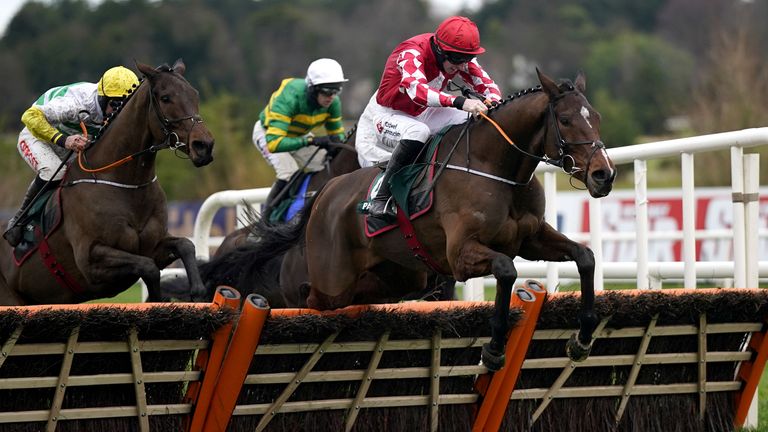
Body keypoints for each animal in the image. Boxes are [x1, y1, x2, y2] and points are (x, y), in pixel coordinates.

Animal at [0, 59, 214, 306]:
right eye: (166, 97)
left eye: (194, 94)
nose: (204, 145)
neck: (124, 184)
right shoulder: (92, 261)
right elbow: (149, 268)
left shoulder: (154, 245)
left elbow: (186, 246)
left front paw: (198, 292)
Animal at [220, 69, 612, 370]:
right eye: (565, 120)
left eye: (596, 117)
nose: (603, 175)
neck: (495, 167)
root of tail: (324, 194)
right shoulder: (461, 254)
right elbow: (506, 269)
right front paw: (495, 347)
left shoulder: (531, 239)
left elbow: (585, 257)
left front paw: (583, 337)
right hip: (334, 281)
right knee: (311, 299)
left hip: (396, 278)